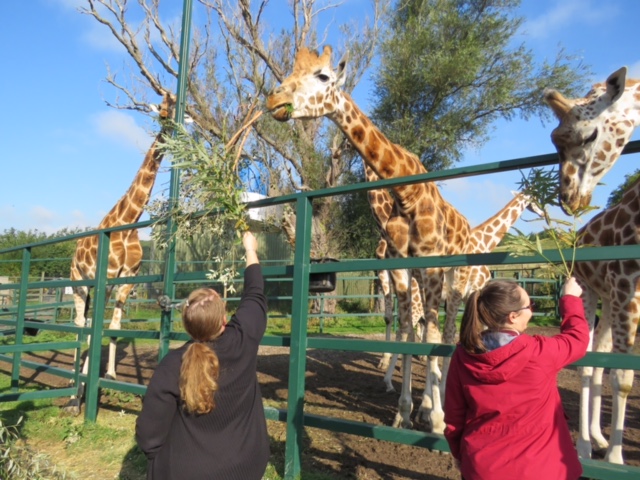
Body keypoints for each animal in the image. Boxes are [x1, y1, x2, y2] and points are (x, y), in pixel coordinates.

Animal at [68, 92, 175, 404]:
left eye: (175, 103)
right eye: (160, 107)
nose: (169, 121)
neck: (128, 223)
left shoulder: (127, 278)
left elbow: (113, 326)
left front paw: (112, 375)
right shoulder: (107, 275)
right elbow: (95, 327)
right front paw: (81, 392)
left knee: (83, 322)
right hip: (78, 281)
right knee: (79, 323)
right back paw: (72, 383)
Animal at [264, 47, 476, 432]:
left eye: (323, 76)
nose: (274, 97)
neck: (405, 193)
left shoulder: (431, 267)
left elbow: (431, 336)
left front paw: (436, 420)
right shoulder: (403, 268)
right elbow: (408, 331)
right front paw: (405, 413)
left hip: (456, 275)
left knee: (448, 330)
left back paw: (439, 406)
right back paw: (424, 404)